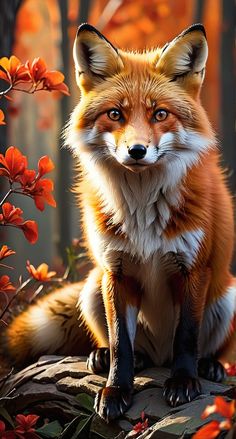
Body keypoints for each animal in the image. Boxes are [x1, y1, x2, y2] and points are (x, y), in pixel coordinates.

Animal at [3, 24, 234, 422]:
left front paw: (183, 383)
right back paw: (102, 358)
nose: (136, 151)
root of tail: (159, 356)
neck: (143, 211)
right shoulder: (117, 270)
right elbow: (120, 344)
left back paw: (209, 367)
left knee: (202, 348)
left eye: (160, 114)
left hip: (226, 294)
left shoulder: (194, 268)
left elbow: (187, 336)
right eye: (115, 114)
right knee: (117, 345)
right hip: (92, 287)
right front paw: (115, 390)